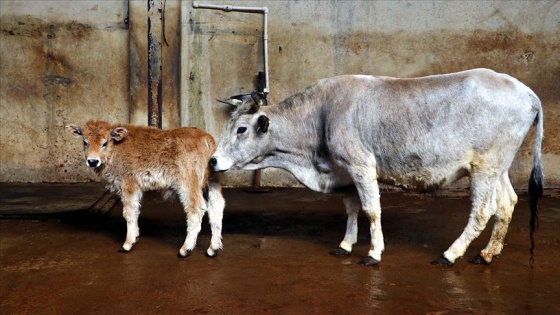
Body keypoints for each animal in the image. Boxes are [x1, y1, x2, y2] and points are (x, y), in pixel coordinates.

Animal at [65, 119, 223, 258]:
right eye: (85, 142)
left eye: (104, 143)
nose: (92, 161)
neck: (116, 147)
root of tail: (206, 138)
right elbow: (135, 210)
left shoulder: (129, 185)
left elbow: (129, 212)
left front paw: (127, 244)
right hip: (211, 182)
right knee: (217, 206)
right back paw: (213, 249)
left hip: (188, 184)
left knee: (196, 208)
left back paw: (185, 249)